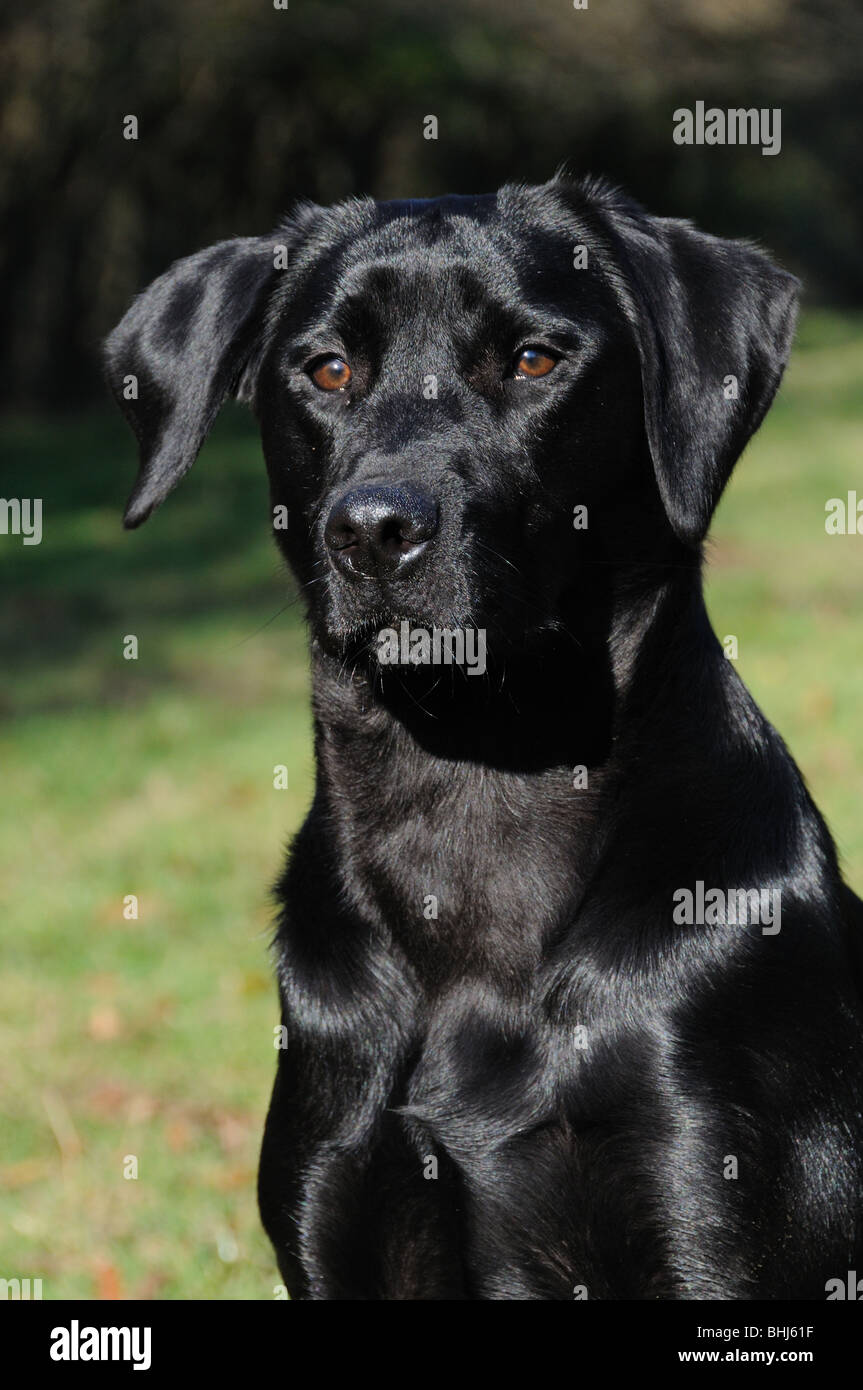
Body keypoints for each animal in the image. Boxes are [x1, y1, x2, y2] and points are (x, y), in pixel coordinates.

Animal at [106, 179, 861, 1295]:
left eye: (534, 360)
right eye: (327, 368)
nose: (374, 528)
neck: (469, 788)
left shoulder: (713, 1217)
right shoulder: (333, 1204)